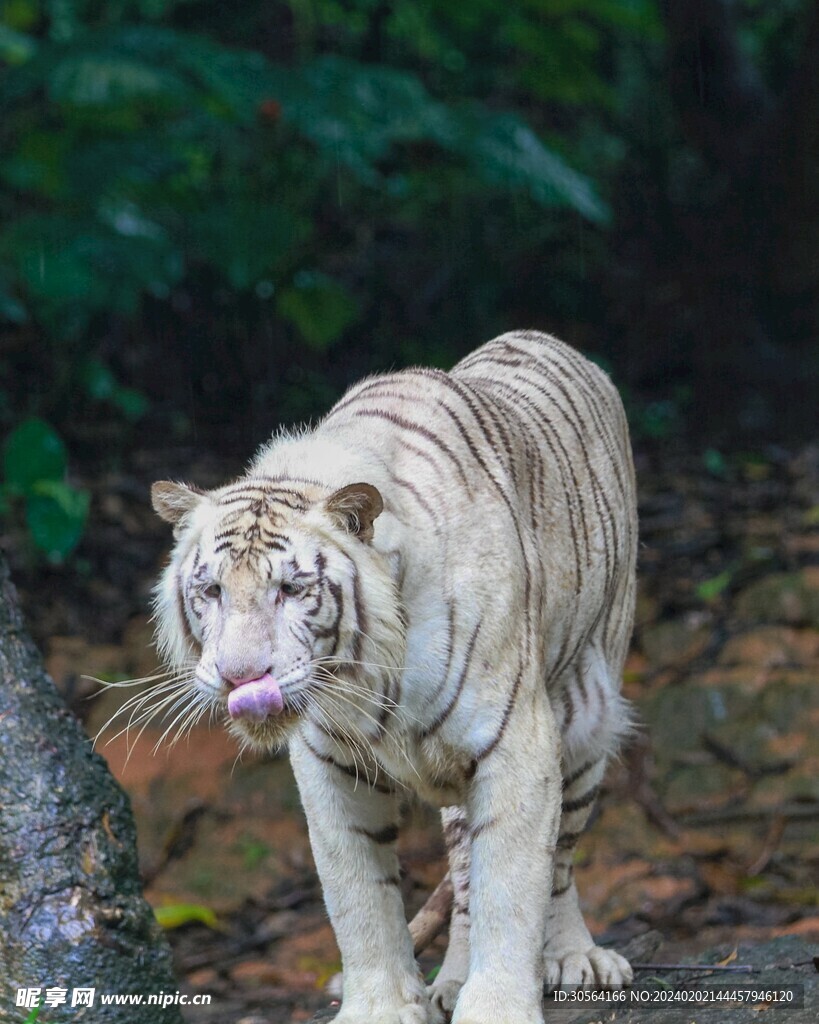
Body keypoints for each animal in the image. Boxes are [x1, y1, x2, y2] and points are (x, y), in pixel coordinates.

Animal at [151, 330, 637, 1024]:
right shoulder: (327, 764)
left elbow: (514, 889)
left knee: (561, 858)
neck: (367, 674)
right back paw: (452, 980)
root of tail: (544, 337)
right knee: (463, 873)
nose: (241, 678)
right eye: (211, 590)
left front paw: (498, 1007)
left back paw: (575, 957)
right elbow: (360, 896)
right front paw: (381, 1007)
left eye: (292, 589)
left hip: (587, 713)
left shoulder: (516, 745)